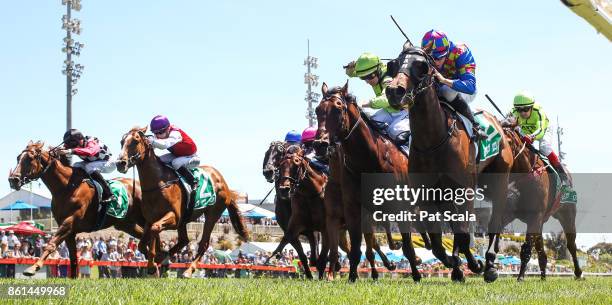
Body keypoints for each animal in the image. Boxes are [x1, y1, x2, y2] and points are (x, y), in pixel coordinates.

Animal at [8, 141, 146, 276]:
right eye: (18, 158)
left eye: (30, 158)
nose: (13, 180)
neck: (66, 187)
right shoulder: (69, 230)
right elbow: (73, 258)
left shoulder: (69, 222)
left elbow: (51, 243)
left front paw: (33, 267)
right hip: (126, 224)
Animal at [115, 125, 249, 276]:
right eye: (122, 142)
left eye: (135, 141)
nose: (120, 163)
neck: (158, 184)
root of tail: (223, 182)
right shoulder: (150, 219)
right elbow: (142, 243)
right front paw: (157, 259)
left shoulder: (174, 218)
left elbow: (155, 229)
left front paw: (153, 263)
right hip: (185, 220)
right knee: (184, 240)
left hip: (212, 215)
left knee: (203, 243)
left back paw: (189, 270)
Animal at [314, 82, 424, 282]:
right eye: (317, 110)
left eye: (338, 107)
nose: (320, 144)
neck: (370, 159)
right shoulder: (353, 208)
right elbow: (356, 247)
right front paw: (351, 276)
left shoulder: (400, 206)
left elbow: (407, 245)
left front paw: (416, 275)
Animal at [384, 46, 512, 282]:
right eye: (394, 65)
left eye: (422, 67)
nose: (394, 91)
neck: (432, 140)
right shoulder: (427, 194)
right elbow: (438, 242)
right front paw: (455, 263)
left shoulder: (464, 190)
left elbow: (462, 233)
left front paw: (474, 264)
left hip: (499, 179)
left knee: (495, 220)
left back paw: (489, 263)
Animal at [502, 126, 584, 280]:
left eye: (508, 141)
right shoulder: (510, 212)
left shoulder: (535, 215)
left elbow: (526, 248)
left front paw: (520, 277)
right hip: (541, 220)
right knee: (541, 249)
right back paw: (543, 276)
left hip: (567, 215)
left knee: (571, 244)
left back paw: (578, 273)